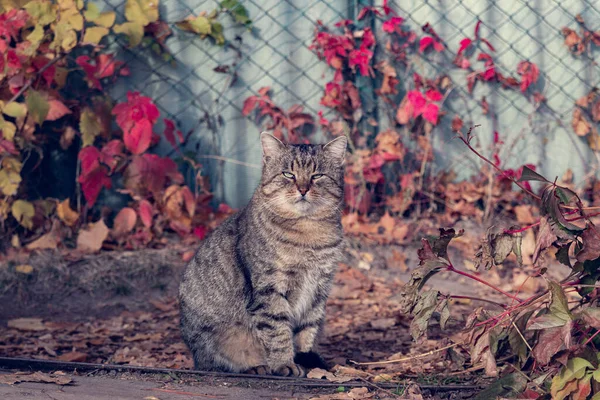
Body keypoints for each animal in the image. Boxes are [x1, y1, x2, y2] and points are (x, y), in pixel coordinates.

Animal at [178, 133, 346, 376]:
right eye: (288, 174)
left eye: (317, 175)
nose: (303, 189)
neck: (308, 231)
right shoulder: (269, 288)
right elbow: (278, 330)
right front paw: (285, 364)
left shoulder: (319, 289)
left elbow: (308, 331)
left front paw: (308, 361)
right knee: (215, 364)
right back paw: (256, 367)